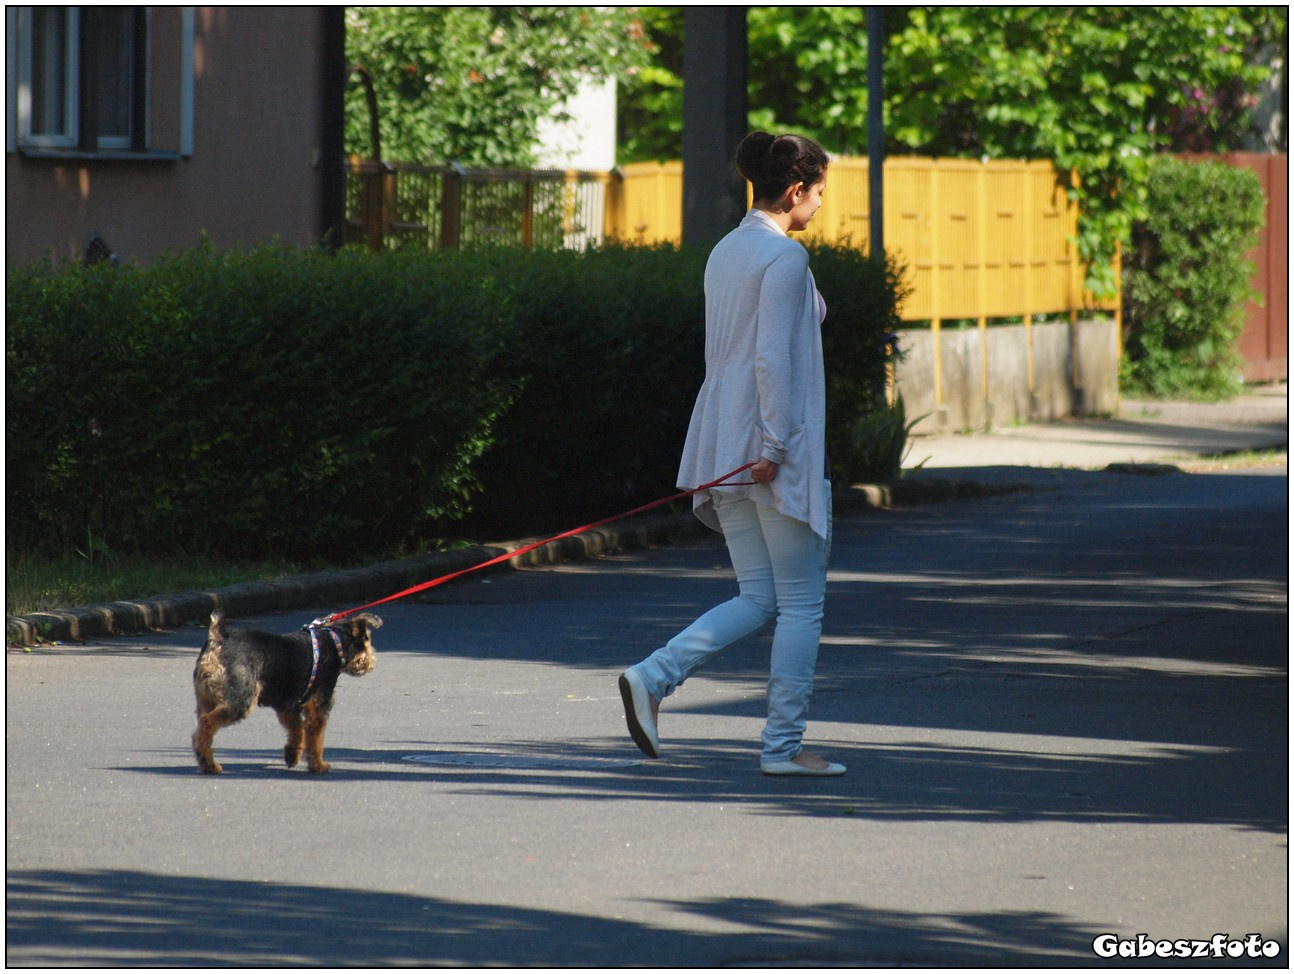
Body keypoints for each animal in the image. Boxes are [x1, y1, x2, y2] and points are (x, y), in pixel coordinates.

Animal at [191, 607, 380, 776]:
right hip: (241, 700)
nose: (372, 662)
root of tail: (218, 639)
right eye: (368, 640)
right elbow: (315, 738)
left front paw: (292, 755)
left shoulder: (288, 706)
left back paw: (206, 762)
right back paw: (210, 764)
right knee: (207, 723)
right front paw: (318, 765)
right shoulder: (318, 705)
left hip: (206, 699)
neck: (335, 642)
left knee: (201, 727)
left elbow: (297, 731)